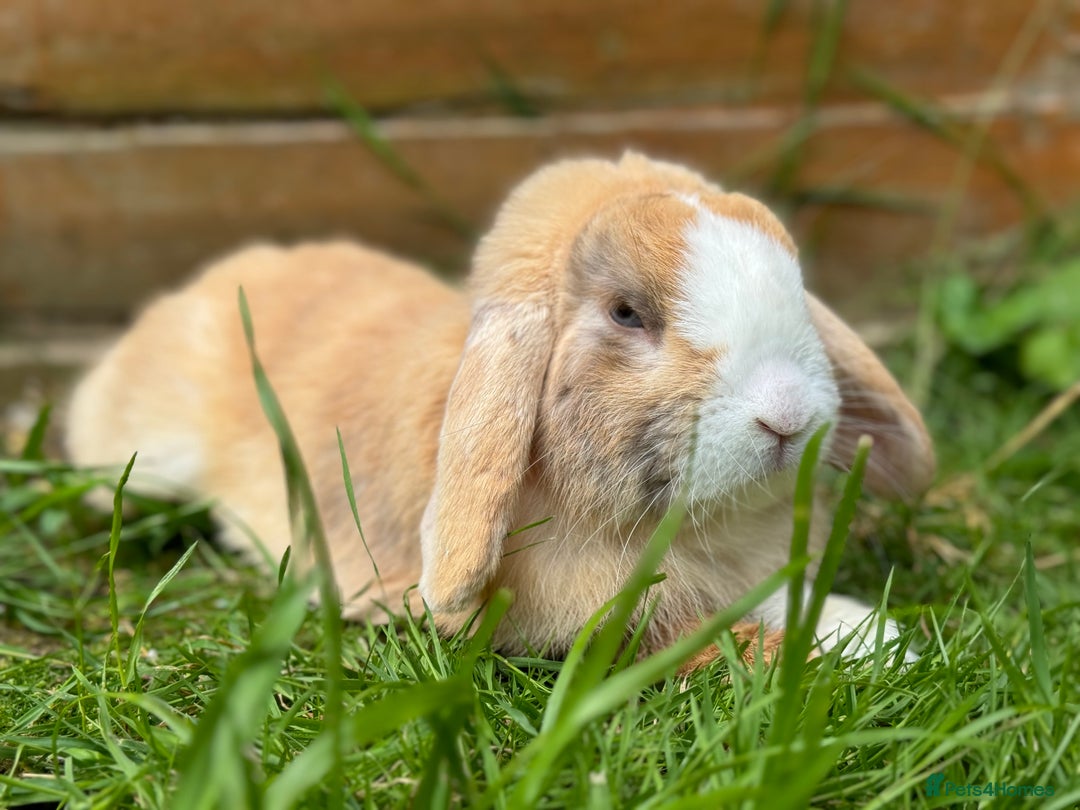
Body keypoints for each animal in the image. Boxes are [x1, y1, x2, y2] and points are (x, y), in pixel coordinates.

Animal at [66, 151, 934, 665]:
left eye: (794, 288)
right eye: (627, 314)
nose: (787, 414)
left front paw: (862, 622)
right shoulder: (610, 619)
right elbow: (713, 639)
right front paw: (868, 648)